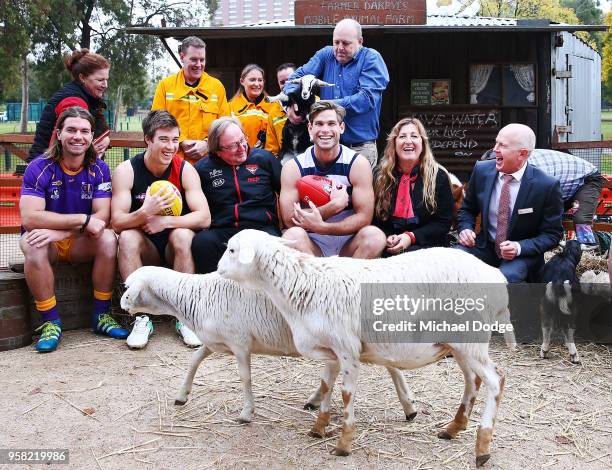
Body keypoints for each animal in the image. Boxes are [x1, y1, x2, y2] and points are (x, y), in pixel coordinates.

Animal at [120, 266, 416, 424]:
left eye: (129, 288)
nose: (122, 304)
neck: (195, 295)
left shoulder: (239, 343)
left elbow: (245, 377)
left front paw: (246, 413)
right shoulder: (216, 343)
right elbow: (194, 361)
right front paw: (182, 395)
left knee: (389, 365)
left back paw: (408, 406)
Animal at [218, 229, 512, 466]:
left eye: (232, 250)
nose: (218, 270)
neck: (301, 285)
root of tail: (496, 275)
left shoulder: (347, 348)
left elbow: (346, 393)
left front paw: (343, 444)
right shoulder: (331, 350)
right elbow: (326, 385)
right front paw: (318, 428)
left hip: (470, 339)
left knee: (495, 379)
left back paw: (482, 448)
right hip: (461, 343)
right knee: (472, 380)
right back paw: (452, 428)